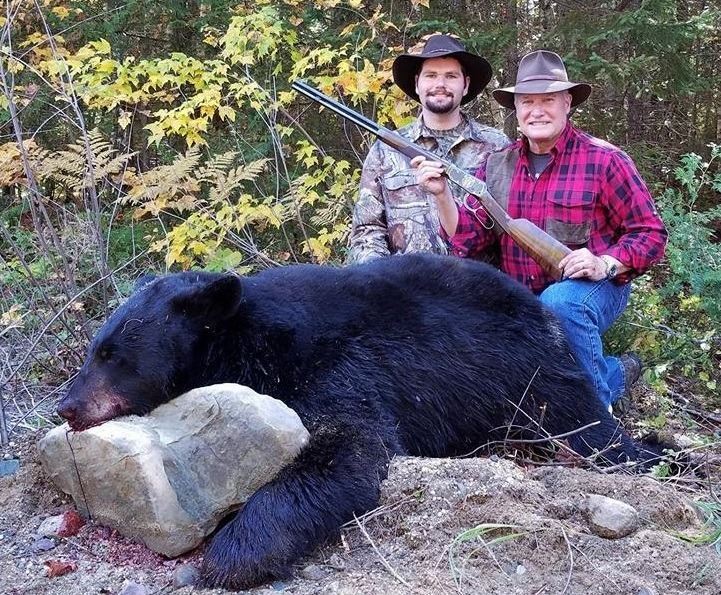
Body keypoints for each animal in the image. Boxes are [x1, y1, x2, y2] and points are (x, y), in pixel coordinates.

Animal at [57, 253, 664, 590]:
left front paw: (232, 555)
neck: (249, 339)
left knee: (585, 428)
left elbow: (345, 450)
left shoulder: (340, 363)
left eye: (112, 355)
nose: (66, 405)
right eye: (93, 350)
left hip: (522, 374)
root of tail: (540, 311)